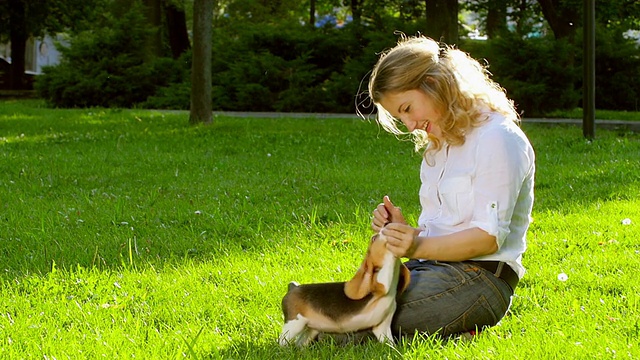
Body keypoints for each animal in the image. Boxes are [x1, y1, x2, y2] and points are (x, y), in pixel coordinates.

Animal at [278, 232, 410, 348]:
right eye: (374, 238)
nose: (386, 226)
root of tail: (293, 287)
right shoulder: (381, 284)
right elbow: (388, 264)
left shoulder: (382, 326)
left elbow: (389, 342)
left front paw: (393, 349)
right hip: (294, 324)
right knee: (282, 341)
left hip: (310, 329)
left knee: (299, 343)